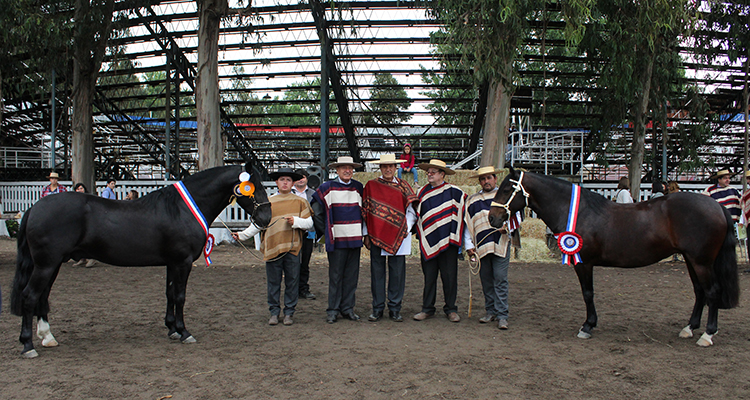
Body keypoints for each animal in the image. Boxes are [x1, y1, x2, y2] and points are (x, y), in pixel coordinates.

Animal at [10, 162, 272, 356]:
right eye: (254, 186)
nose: (266, 217)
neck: (180, 209)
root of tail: (34, 208)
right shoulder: (183, 262)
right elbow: (180, 296)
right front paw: (184, 332)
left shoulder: (172, 263)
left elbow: (169, 294)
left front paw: (172, 329)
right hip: (46, 265)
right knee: (30, 296)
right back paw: (28, 345)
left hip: (52, 264)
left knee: (42, 297)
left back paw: (47, 337)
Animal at [488, 167, 740, 346]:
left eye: (507, 190)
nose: (492, 217)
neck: (579, 212)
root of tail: (716, 206)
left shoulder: (584, 263)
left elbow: (588, 293)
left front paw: (587, 327)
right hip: (691, 260)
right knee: (700, 292)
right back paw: (689, 328)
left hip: (701, 262)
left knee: (712, 292)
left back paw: (707, 334)